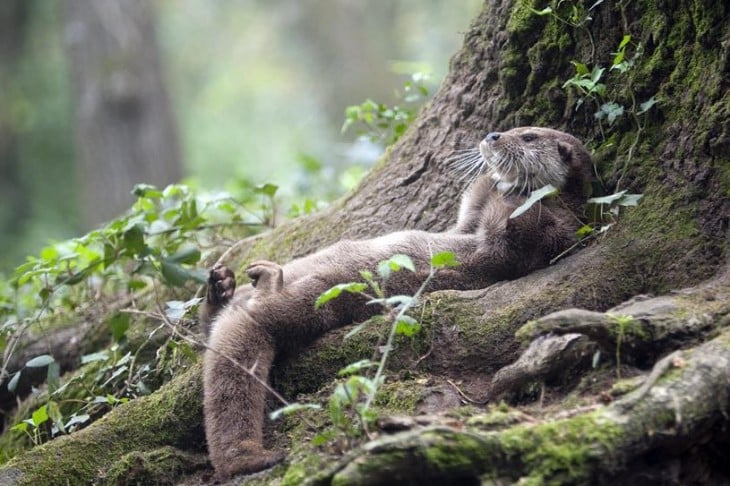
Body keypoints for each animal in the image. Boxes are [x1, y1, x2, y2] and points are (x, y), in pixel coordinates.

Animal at [199, 127, 592, 480]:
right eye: (515, 128)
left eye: (528, 136)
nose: (493, 136)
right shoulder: (467, 223)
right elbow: (472, 209)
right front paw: (491, 178)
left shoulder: (546, 236)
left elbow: (513, 235)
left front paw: (509, 186)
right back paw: (221, 286)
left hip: (315, 299)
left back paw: (266, 281)